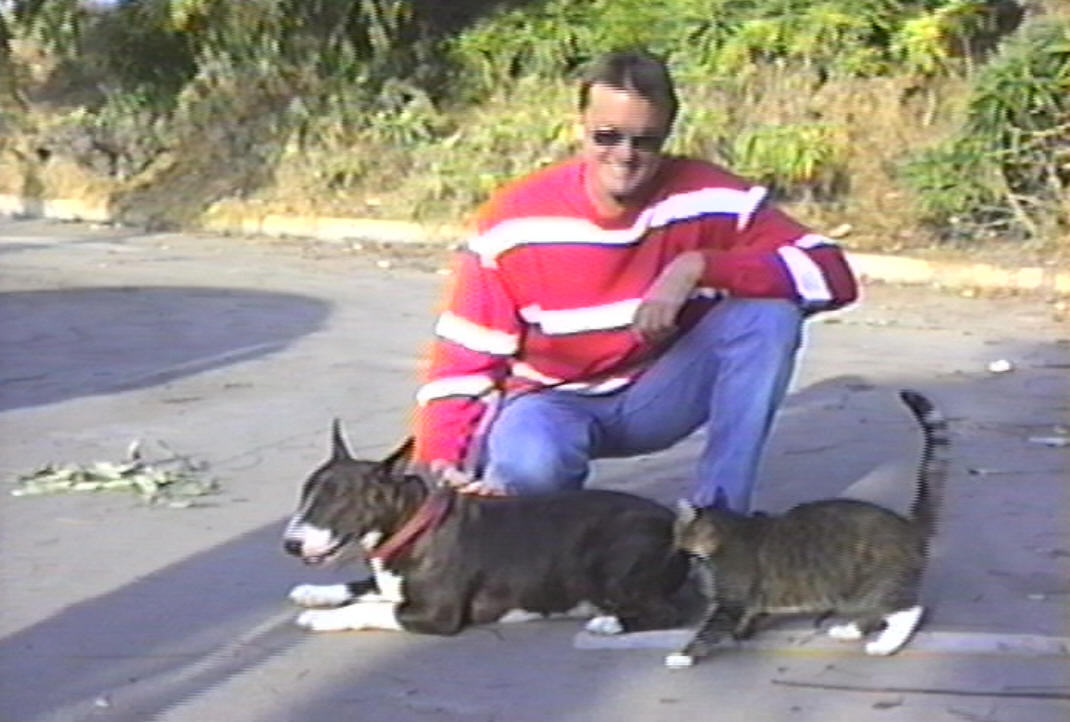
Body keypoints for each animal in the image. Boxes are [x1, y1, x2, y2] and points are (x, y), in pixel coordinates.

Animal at [282, 421, 689, 636]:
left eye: (340, 500)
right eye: (305, 493)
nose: (290, 545)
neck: (413, 524)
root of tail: (674, 523)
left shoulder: (435, 613)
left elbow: (371, 608)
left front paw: (322, 616)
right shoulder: (390, 586)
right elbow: (362, 588)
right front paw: (314, 593)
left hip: (616, 556)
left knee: (668, 614)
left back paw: (607, 623)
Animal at [666, 389, 948, 667]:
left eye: (678, 532)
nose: (676, 546)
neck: (725, 533)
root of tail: (907, 524)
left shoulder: (731, 599)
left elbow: (710, 630)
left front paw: (683, 655)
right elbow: (748, 615)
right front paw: (743, 631)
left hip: (876, 584)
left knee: (907, 611)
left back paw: (884, 645)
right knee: (876, 614)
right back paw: (849, 631)